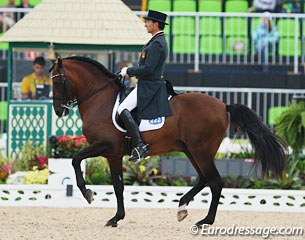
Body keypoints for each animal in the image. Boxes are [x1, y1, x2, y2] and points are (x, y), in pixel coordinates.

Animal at [50, 55, 284, 227]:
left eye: (58, 81)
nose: (59, 111)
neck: (100, 99)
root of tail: (223, 105)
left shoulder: (106, 146)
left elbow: (75, 159)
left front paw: (87, 193)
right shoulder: (113, 154)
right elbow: (117, 186)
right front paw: (116, 218)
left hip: (200, 151)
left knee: (215, 182)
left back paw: (205, 221)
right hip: (191, 150)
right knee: (204, 179)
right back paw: (182, 207)